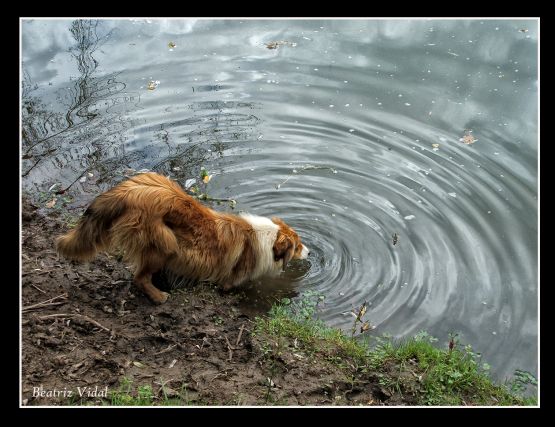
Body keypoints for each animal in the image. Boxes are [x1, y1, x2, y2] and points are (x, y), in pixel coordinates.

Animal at [56, 173, 310, 304]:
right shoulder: (231, 280)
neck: (266, 238)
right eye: (298, 246)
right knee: (139, 277)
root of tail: (131, 190)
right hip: (165, 244)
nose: (310, 252)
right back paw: (159, 296)